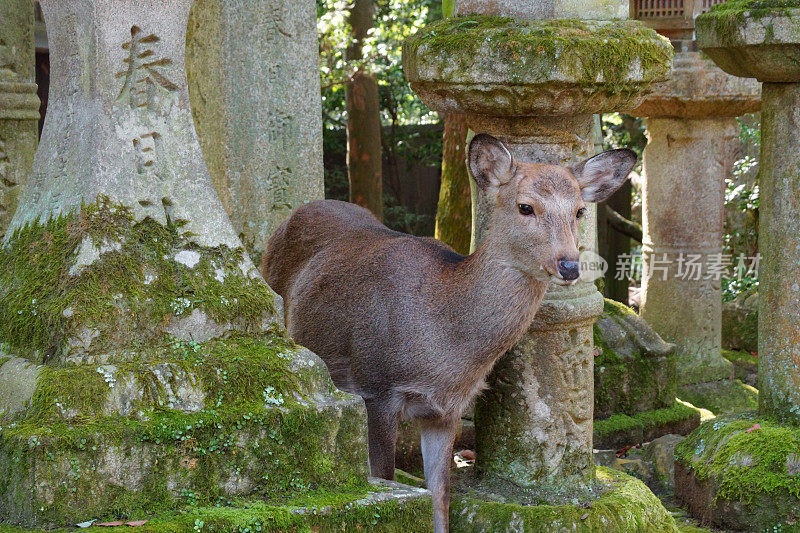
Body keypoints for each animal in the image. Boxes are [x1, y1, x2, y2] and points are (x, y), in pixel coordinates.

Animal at [262, 132, 636, 528]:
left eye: (579, 211)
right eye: (525, 207)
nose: (569, 266)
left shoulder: (447, 410)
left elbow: (440, 496)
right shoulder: (375, 386)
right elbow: (386, 478)